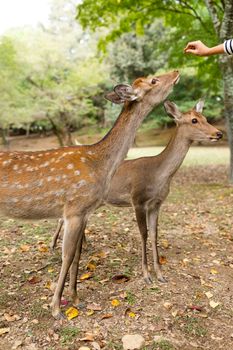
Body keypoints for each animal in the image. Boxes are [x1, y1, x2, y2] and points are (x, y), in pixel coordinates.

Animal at [0, 69, 180, 318]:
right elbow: (66, 256)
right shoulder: (74, 208)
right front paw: (56, 308)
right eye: (153, 80)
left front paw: (75, 298)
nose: (176, 72)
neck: (99, 164)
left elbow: (77, 254)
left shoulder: (85, 212)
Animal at [51, 99, 222, 284]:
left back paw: (84, 244)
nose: (219, 133)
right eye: (194, 120)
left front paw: (160, 275)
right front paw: (147, 275)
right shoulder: (138, 199)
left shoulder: (157, 204)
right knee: (62, 217)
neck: (158, 176)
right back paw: (53, 245)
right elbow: (143, 233)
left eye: (205, 118)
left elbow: (154, 234)